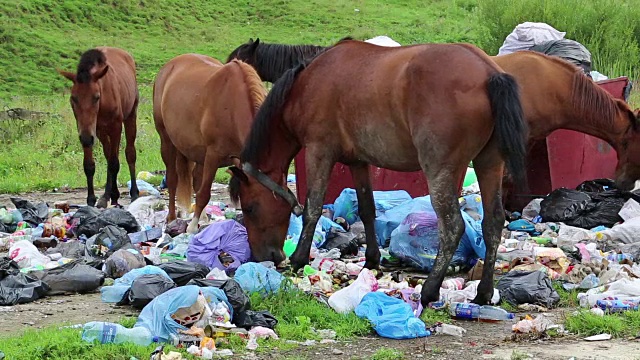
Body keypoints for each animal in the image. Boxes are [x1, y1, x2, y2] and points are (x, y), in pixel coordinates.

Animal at [58, 47, 139, 208]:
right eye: (73, 98)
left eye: (96, 97)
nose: (86, 138)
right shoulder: (90, 130)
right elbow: (90, 165)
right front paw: (91, 199)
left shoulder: (115, 127)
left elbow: (114, 163)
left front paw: (113, 196)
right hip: (101, 131)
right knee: (109, 155)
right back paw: (109, 195)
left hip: (130, 116)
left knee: (129, 154)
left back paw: (133, 193)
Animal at [154, 53, 266, 233]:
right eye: (254, 208)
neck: (233, 104)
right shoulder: (214, 154)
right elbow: (204, 193)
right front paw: (192, 228)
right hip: (167, 141)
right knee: (173, 180)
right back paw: (172, 218)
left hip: (199, 153)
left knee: (196, 179)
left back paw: (204, 217)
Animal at [228, 38, 528, 306]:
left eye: (250, 209)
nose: (264, 256)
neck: (307, 82)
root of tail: (488, 73)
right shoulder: (358, 162)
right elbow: (367, 209)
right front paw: (372, 259)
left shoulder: (319, 151)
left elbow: (312, 207)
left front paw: (299, 258)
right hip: (489, 163)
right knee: (493, 223)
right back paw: (484, 292)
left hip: (441, 170)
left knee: (453, 226)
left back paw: (430, 289)